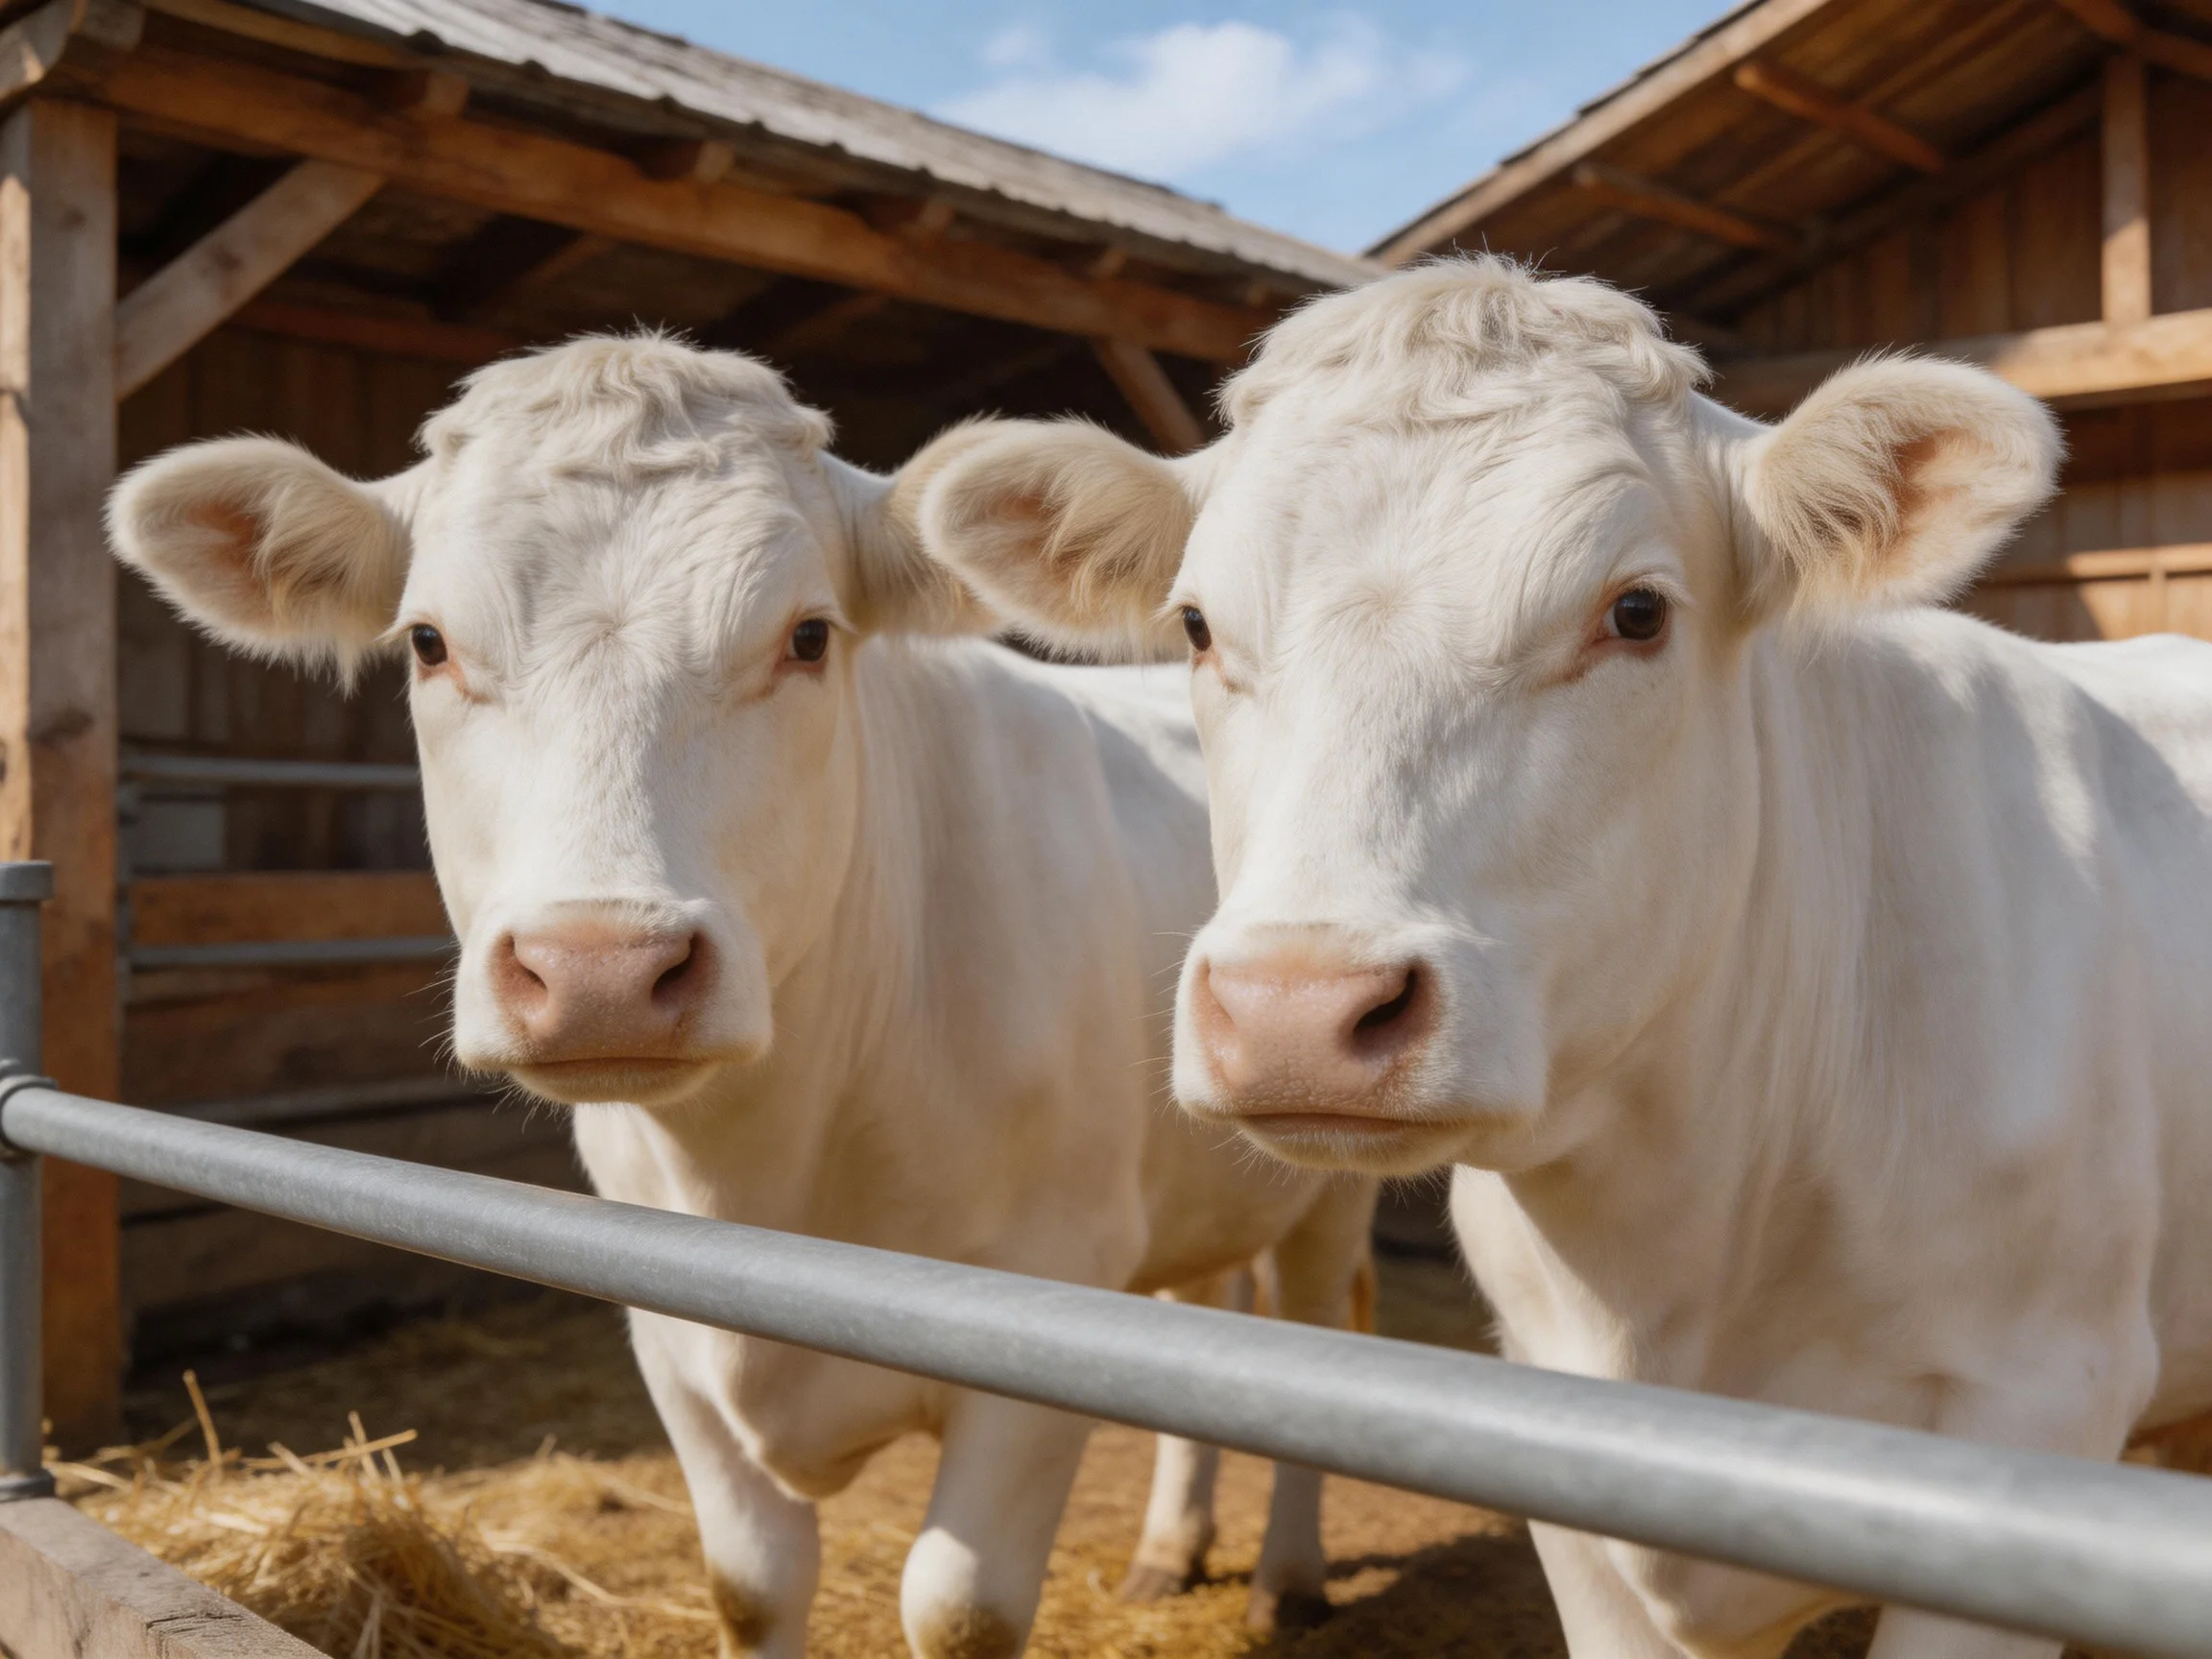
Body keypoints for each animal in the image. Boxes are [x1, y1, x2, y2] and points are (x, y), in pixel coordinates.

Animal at [106, 335, 1378, 1659]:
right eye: (428, 644)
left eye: (809, 636)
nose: (599, 972)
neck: (779, 1168)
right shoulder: (669, 1334)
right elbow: (752, 1583)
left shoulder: (1056, 1294)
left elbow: (960, 1608)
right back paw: (1169, 1549)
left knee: (1311, 1320)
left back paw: (1288, 1573)